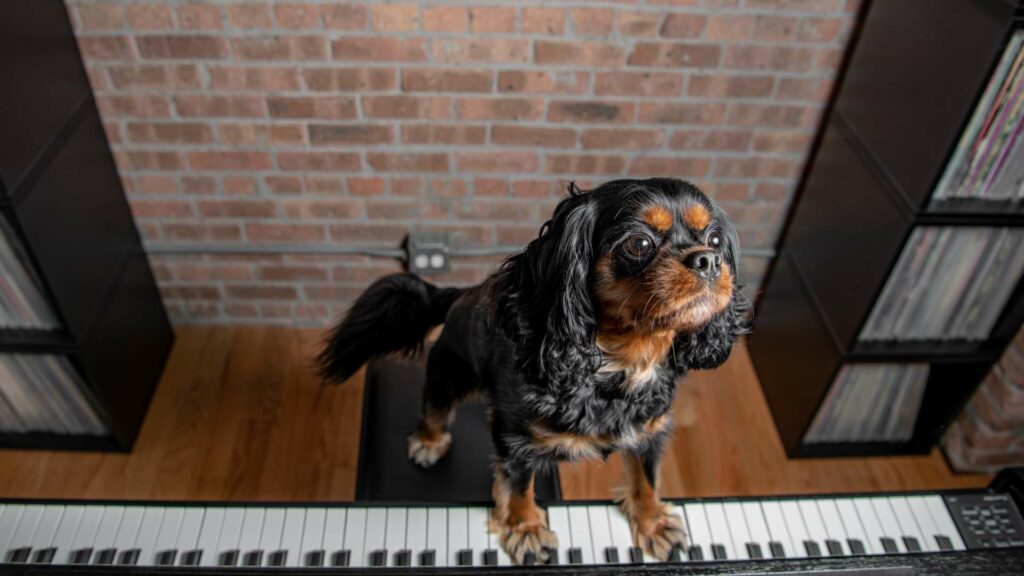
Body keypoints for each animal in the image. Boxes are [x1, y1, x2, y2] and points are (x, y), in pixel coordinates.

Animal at [315, 177, 749, 561]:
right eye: (639, 243)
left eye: (714, 240)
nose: (709, 260)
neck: (615, 367)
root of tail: (462, 293)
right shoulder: (517, 440)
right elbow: (520, 486)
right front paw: (525, 529)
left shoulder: (649, 430)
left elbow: (646, 478)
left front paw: (653, 521)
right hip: (449, 368)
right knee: (435, 406)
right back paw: (429, 441)